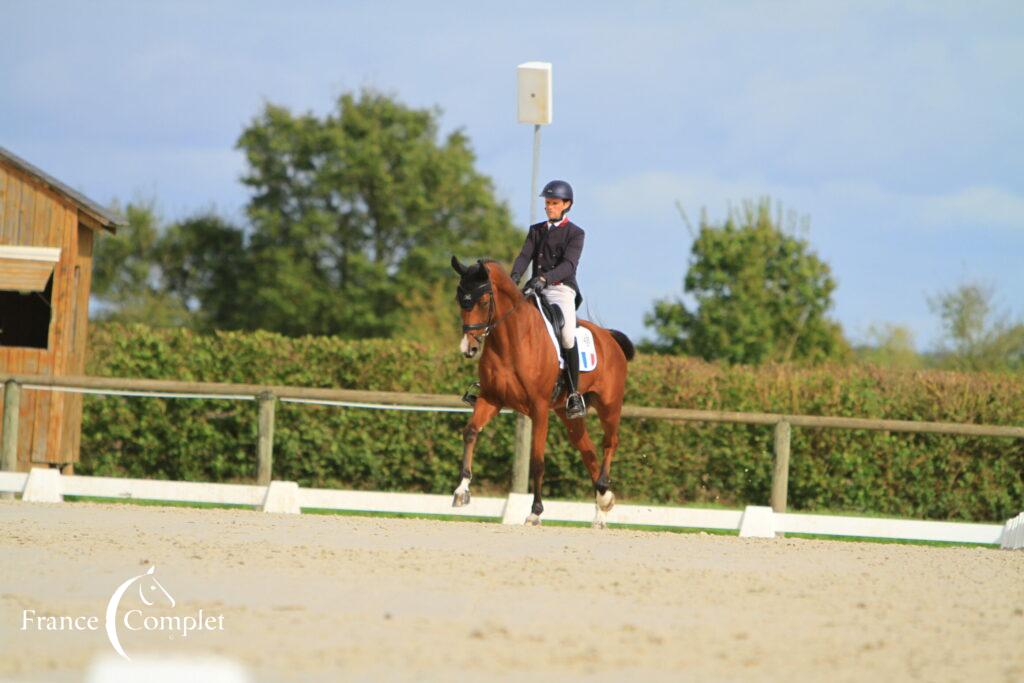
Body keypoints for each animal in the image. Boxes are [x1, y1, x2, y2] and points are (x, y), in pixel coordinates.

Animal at [448, 255, 630, 528]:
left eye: (483, 301)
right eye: (461, 300)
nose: (468, 348)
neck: (511, 340)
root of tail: (608, 336)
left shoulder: (539, 408)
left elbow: (537, 461)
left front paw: (535, 512)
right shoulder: (491, 399)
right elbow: (470, 432)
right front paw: (462, 491)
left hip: (609, 405)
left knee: (610, 442)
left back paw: (604, 496)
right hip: (568, 412)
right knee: (587, 450)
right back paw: (601, 509)